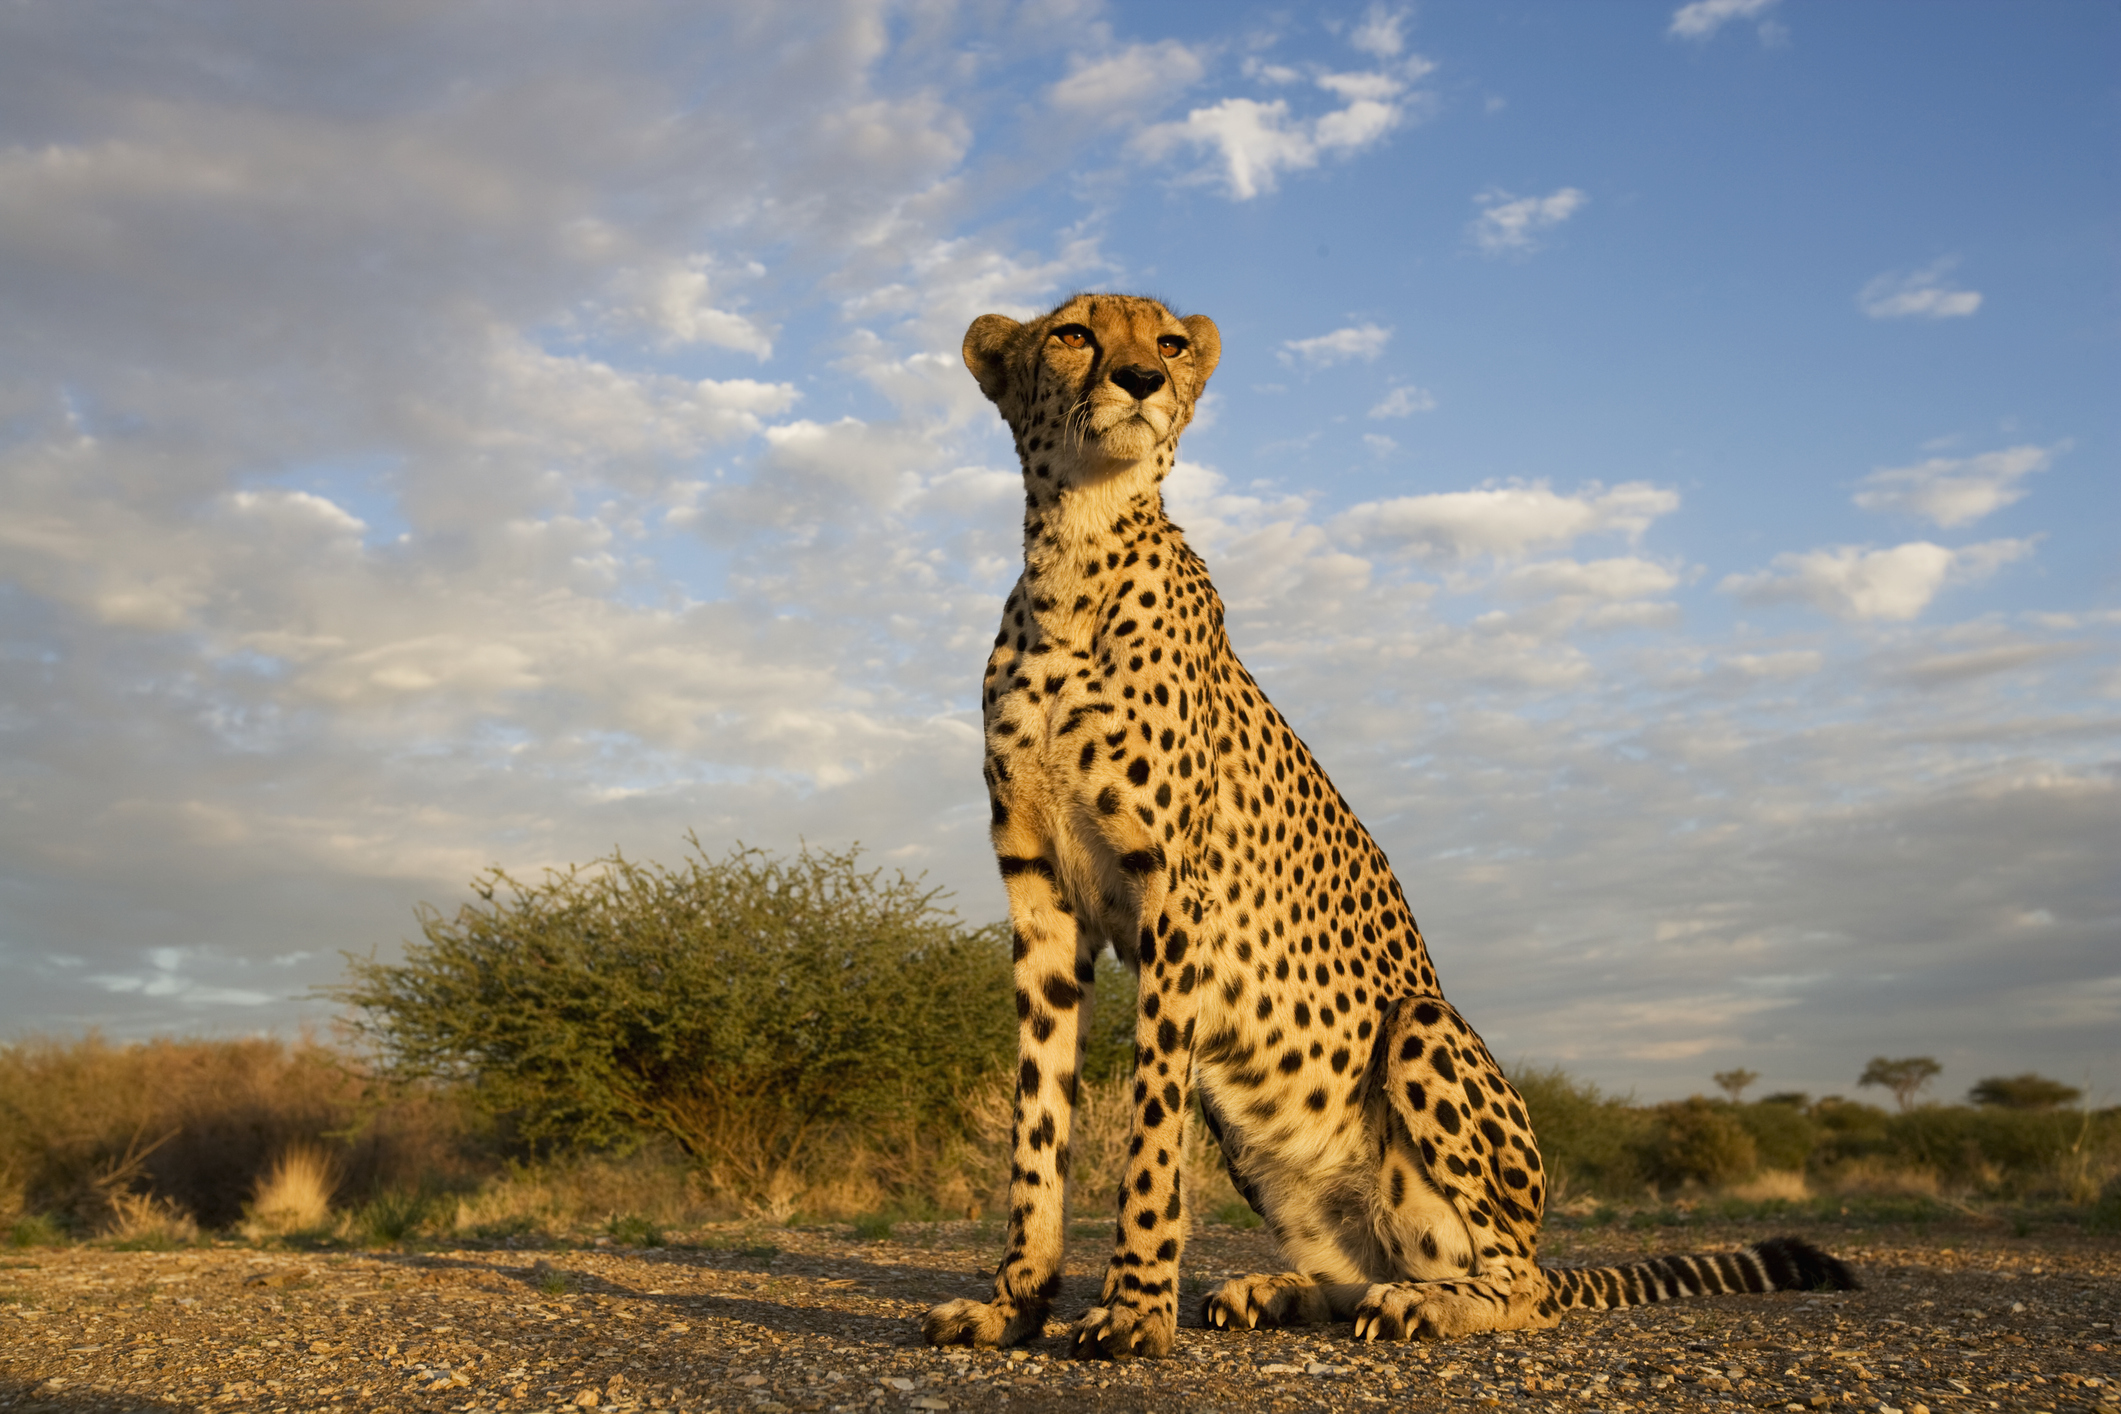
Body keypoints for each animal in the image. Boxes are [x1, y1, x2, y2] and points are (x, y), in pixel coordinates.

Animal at [922, 292, 1856, 1360]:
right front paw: (1014, 1304)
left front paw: (1132, 1311)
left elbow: (1150, 1138)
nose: (1142, 382)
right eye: (1074, 334)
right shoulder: (1040, 898)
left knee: (1515, 1282)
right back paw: (1282, 1290)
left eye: (1165, 341)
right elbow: (1036, 1130)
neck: (1075, 561)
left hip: (1421, 1030)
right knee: (1361, 1267)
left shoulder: (1174, 901)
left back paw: (1432, 1303)